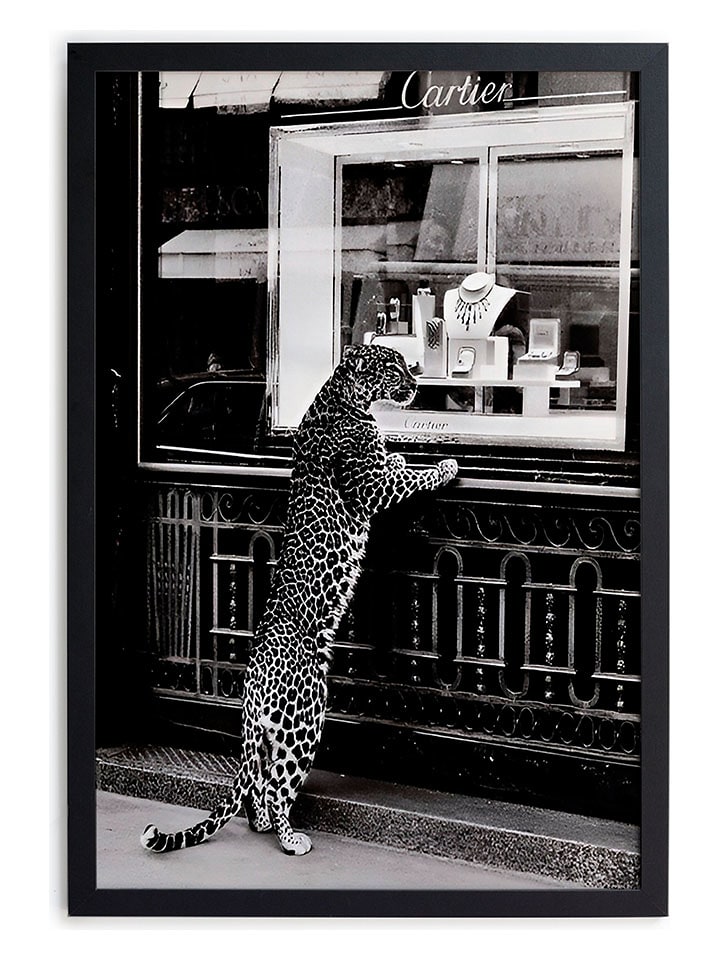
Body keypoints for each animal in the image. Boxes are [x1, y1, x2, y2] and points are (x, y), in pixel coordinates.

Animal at [141, 344, 458, 856]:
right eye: (393, 366)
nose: (416, 382)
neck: (345, 397)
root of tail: (250, 687)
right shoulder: (372, 487)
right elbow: (411, 478)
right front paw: (443, 467)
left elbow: (395, 463)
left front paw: (404, 453)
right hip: (303, 723)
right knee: (277, 786)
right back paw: (291, 839)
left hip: (271, 735)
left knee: (259, 786)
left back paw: (266, 825)